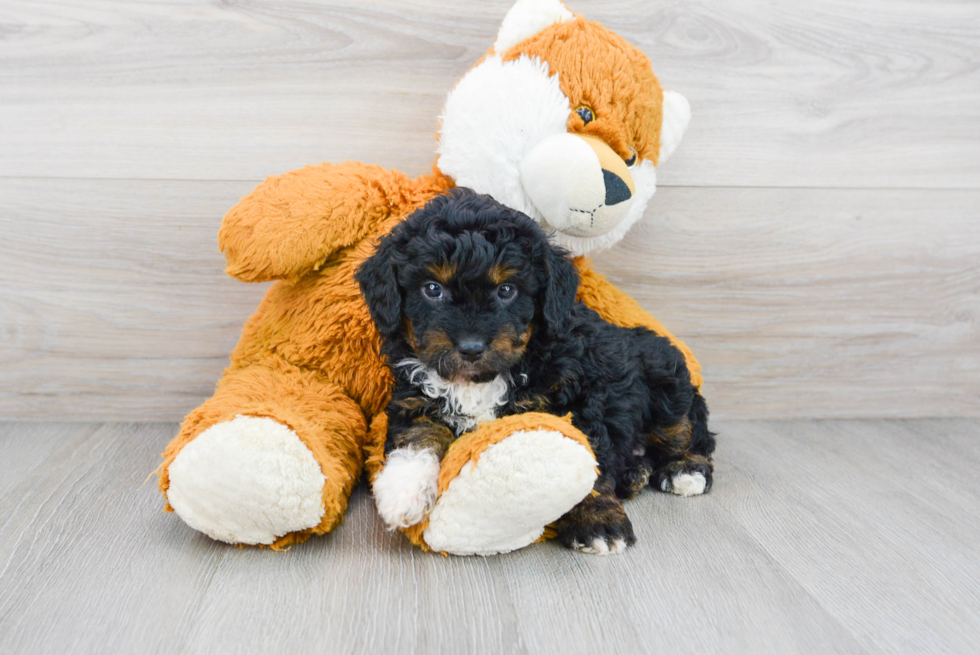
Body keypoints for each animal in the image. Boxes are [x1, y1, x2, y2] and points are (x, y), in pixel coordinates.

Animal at [356, 187, 716, 556]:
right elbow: (416, 435)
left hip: (666, 377)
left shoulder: (577, 400)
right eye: (432, 289)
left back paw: (685, 470)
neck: (480, 380)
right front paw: (403, 490)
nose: (471, 348)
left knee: (686, 431)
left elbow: (590, 461)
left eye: (506, 290)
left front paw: (598, 520)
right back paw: (635, 474)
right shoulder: (415, 397)